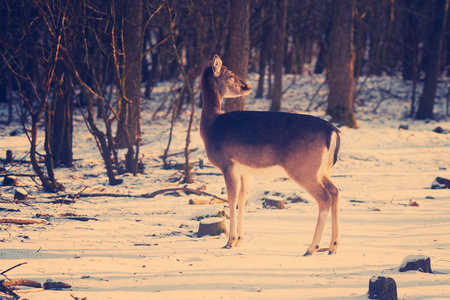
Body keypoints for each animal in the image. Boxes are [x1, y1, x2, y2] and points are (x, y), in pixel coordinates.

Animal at [200, 54, 342, 255]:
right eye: (230, 75)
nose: (247, 87)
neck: (209, 126)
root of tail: (334, 131)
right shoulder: (245, 170)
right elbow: (242, 199)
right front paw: (239, 240)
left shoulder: (227, 163)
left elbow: (231, 199)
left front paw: (230, 241)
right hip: (321, 170)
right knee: (335, 191)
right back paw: (333, 246)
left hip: (303, 168)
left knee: (324, 197)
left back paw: (312, 247)